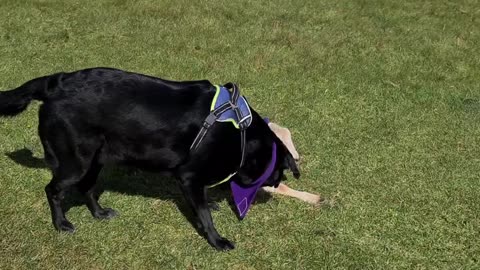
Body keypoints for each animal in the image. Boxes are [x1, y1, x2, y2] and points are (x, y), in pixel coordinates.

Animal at [0, 68, 298, 251]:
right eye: (279, 173)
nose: (275, 186)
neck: (241, 131)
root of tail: (55, 83)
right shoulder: (188, 176)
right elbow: (204, 214)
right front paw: (216, 240)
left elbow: (203, 201)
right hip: (76, 161)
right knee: (53, 190)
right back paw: (61, 224)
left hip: (97, 158)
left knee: (87, 188)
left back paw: (100, 213)